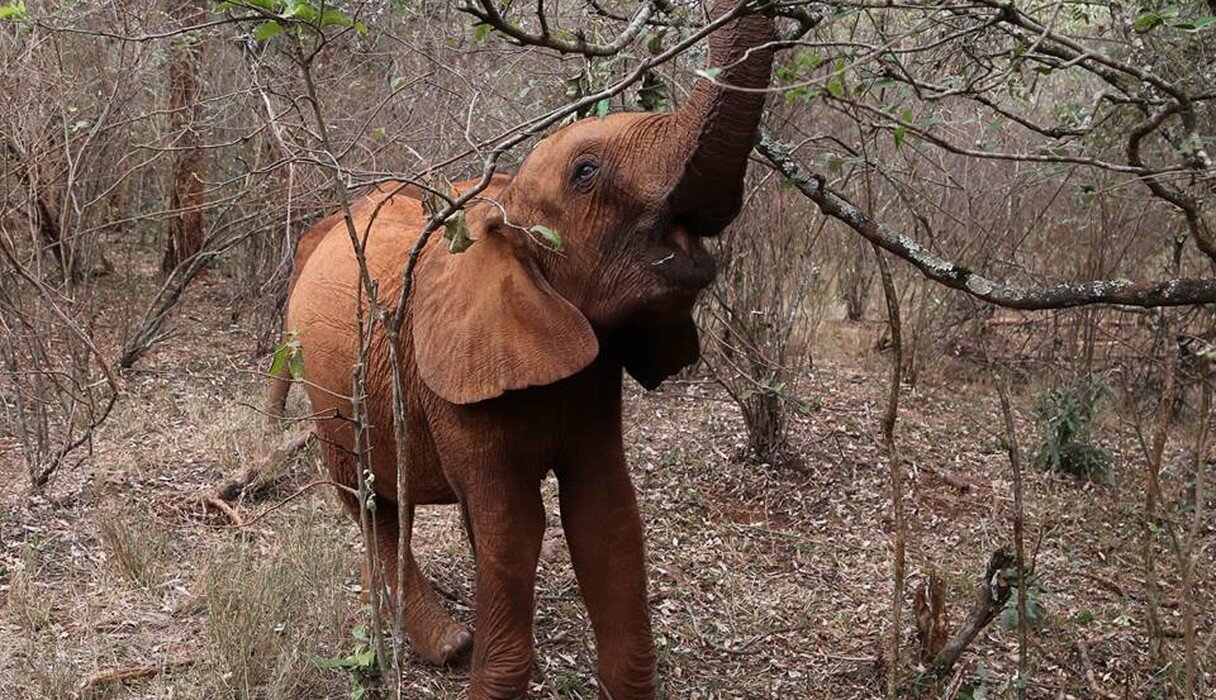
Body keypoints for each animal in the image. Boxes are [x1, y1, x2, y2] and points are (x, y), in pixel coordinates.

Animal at [281, 2, 774, 697]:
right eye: (586, 172)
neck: (503, 202)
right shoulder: (452, 380)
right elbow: (514, 527)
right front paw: (494, 677)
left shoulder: (593, 377)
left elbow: (606, 516)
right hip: (327, 391)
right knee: (371, 502)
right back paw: (450, 646)